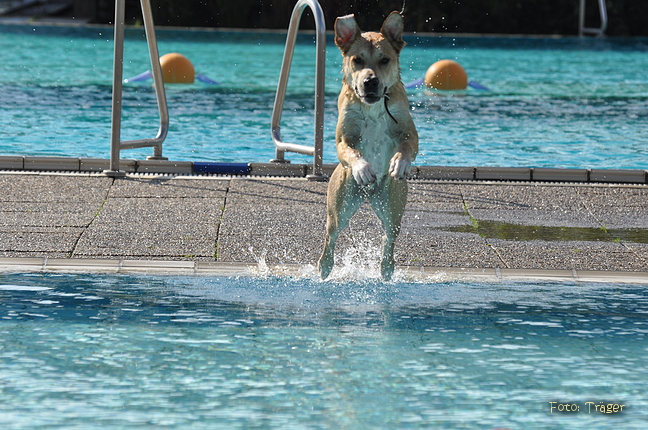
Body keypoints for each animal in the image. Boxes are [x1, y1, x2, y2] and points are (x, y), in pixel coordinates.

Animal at [318, 10, 420, 282]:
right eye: (357, 60)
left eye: (384, 60)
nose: (370, 81)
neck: (372, 107)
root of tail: (369, 194)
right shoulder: (344, 138)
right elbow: (351, 150)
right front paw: (363, 168)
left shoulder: (408, 131)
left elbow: (407, 146)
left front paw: (399, 163)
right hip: (340, 203)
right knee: (331, 235)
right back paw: (325, 266)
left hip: (393, 205)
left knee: (389, 236)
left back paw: (386, 268)